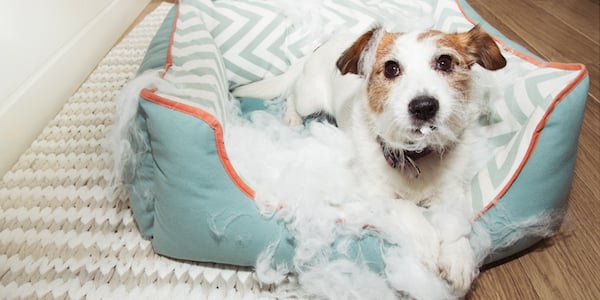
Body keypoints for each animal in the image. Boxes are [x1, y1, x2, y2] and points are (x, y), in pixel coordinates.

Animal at [234, 25, 506, 296]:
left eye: (445, 62)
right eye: (391, 68)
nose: (424, 106)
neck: (415, 155)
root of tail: (321, 46)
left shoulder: (452, 191)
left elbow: (455, 218)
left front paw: (459, 256)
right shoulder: (369, 193)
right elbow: (405, 207)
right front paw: (427, 243)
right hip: (308, 98)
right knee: (292, 97)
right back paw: (291, 118)